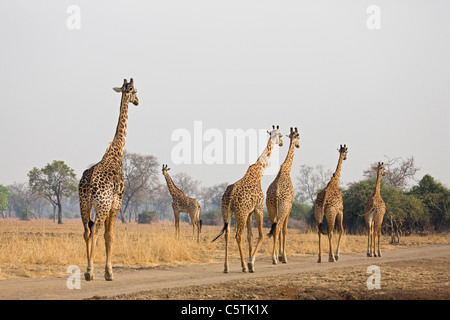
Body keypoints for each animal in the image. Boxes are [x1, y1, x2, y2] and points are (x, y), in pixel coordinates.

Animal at [78, 79, 139, 282]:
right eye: (135, 91)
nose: (137, 102)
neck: (117, 151)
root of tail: (89, 185)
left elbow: (105, 235)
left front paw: (106, 271)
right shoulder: (116, 201)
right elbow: (109, 235)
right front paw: (109, 273)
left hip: (84, 203)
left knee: (86, 231)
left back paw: (88, 270)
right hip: (102, 205)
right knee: (95, 231)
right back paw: (89, 272)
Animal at [213, 124, 284, 272]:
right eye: (280, 135)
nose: (281, 143)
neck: (258, 173)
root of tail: (230, 195)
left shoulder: (250, 212)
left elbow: (250, 236)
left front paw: (250, 260)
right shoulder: (258, 208)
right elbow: (261, 235)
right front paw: (251, 263)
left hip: (226, 212)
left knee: (228, 234)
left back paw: (226, 267)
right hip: (241, 213)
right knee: (237, 235)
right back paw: (245, 266)